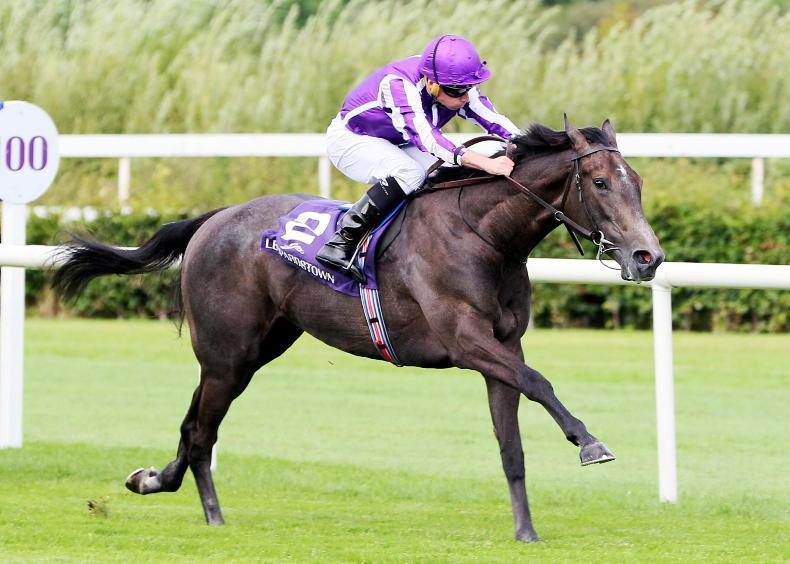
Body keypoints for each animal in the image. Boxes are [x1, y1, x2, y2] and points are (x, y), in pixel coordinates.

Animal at [52, 117, 664, 543]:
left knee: (192, 423)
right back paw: (212, 516)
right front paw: (590, 443)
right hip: (229, 353)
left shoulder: (501, 348)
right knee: (202, 431)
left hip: (252, 351)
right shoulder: (467, 342)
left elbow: (511, 445)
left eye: (637, 182)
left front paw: (526, 531)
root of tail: (214, 218)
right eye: (601, 182)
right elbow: (540, 382)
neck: (484, 235)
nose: (648, 256)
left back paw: (153, 480)